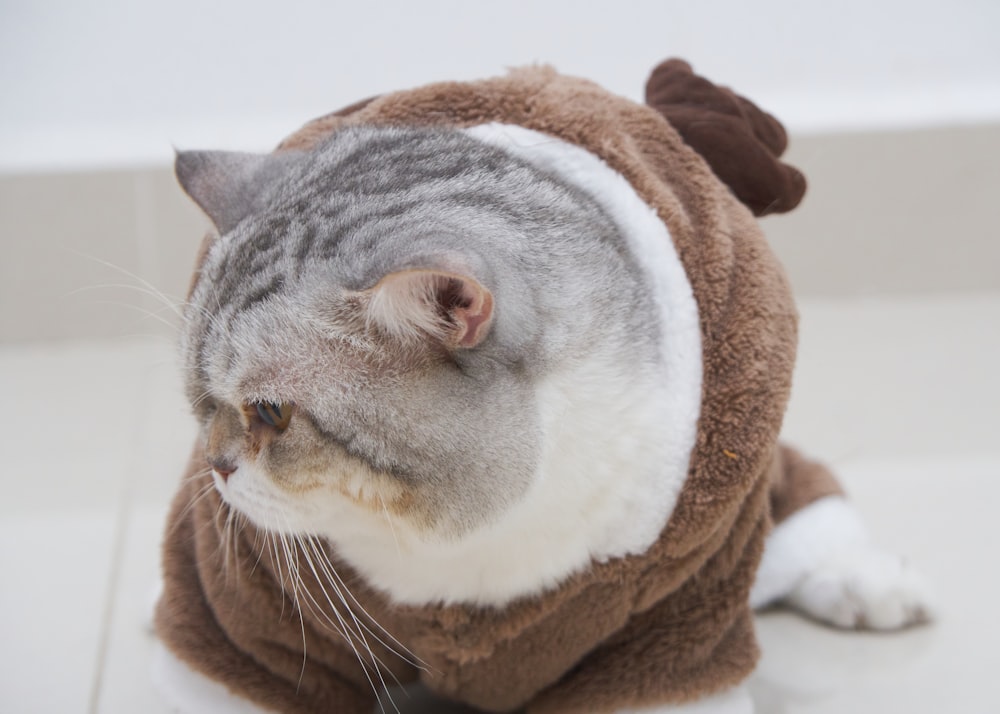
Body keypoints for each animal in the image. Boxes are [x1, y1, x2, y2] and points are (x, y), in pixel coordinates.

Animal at [152, 62, 932, 712]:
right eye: (199, 401)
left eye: (271, 413)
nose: (216, 469)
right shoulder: (246, 621)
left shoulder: (668, 641)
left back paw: (871, 587)